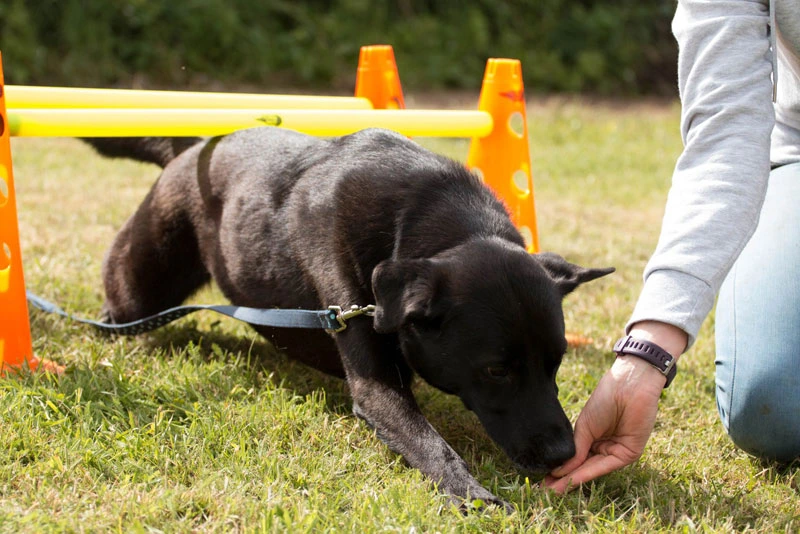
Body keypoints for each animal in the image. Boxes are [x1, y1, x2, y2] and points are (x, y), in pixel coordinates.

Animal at [86, 127, 612, 508]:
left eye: (556, 363)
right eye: (497, 371)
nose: (565, 453)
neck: (426, 223)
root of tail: (193, 146)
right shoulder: (375, 386)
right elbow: (431, 443)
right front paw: (471, 494)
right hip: (138, 286)